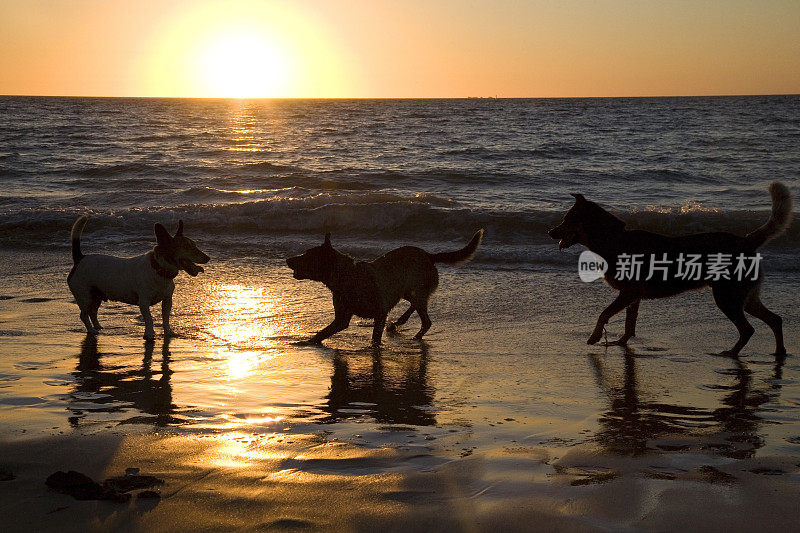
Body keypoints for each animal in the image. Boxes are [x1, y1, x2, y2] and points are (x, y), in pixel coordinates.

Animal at [67, 215, 209, 336]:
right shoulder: (144, 302)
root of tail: (80, 258)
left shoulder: (167, 300)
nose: (207, 257)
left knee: (93, 312)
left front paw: (168, 331)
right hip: (85, 296)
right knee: (84, 315)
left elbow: (166, 318)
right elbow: (149, 319)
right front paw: (150, 334)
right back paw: (91, 330)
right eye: (187, 247)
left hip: (96, 295)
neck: (158, 269)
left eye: (194, 245)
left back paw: (98, 327)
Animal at [548, 181, 792, 356]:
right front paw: (622, 342)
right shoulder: (633, 296)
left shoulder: (628, 292)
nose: (550, 232)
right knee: (775, 319)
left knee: (748, 329)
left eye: (566, 219)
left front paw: (595, 336)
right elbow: (629, 323)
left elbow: (604, 313)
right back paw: (779, 352)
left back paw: (731, 353)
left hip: (727, 297)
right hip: (746, 297)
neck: (613, 239)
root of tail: (747, 240)